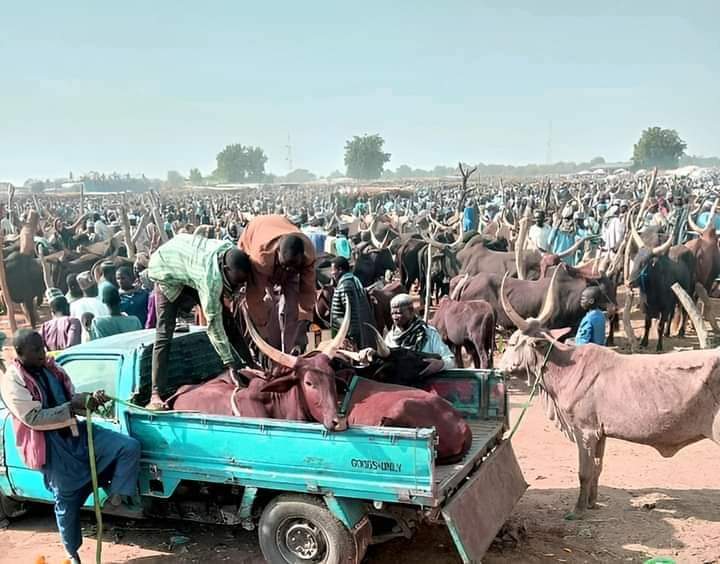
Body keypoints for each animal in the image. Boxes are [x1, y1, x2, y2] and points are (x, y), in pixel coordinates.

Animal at [498, 274, 720, 520]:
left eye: (512, 343)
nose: (500, 368)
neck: (566, 368)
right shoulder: (600, 432)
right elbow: (597, 468)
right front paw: (592, 503)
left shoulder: (584, 431)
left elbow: (584, 472)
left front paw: (577, 511)